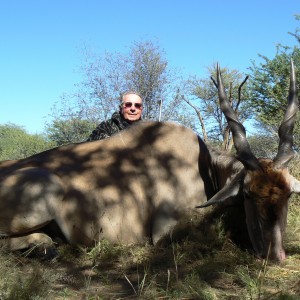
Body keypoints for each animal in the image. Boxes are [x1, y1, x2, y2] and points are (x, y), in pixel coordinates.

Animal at [0, 60, 298, 260]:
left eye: (287, 194)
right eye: (247, 194)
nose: (274, 255)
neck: (205, 165)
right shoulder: (165, 231)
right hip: (45, 188)